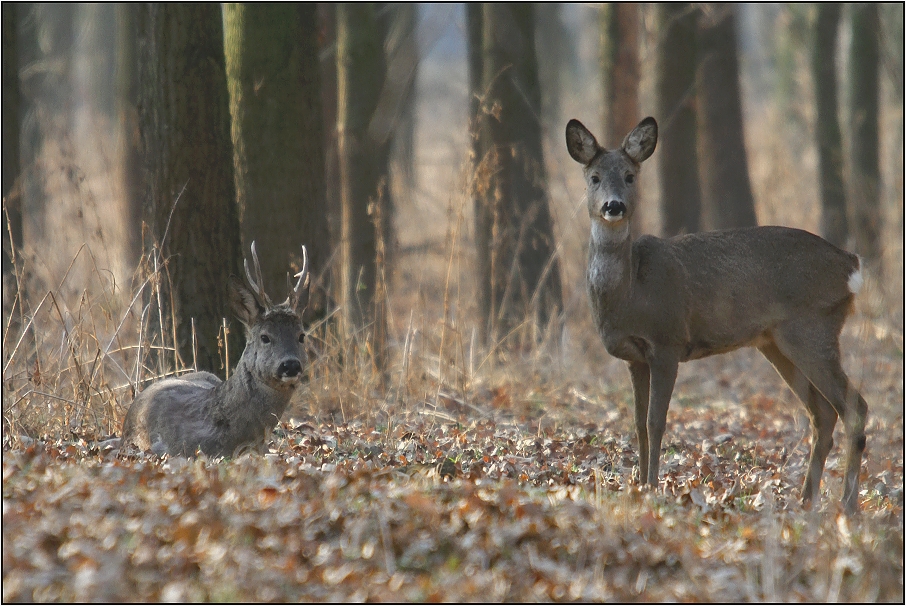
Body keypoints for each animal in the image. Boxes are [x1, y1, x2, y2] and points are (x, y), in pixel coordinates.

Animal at [564, 117, 868, 512]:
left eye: (630, 176)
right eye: (595, 177)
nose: (613, 206)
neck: (632, 291)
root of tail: (851, 264)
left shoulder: (667, 342)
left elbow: (656, 421)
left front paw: (653, 486)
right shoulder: (635, 357)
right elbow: (637, 423)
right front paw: (640, 486)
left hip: (813, 328)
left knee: (855, 407)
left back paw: (846, 504)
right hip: (776, 342)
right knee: (823, 413)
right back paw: (806, 500)